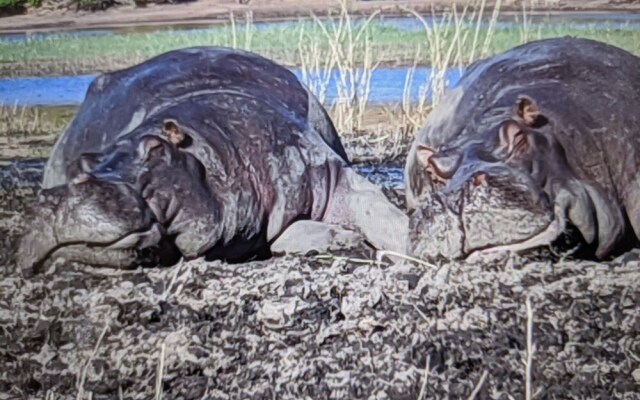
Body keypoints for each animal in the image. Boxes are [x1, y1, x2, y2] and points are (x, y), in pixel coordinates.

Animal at [18, 46, 410, 272]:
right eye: (80, 164)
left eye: (155, 149)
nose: (58, 197)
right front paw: (341, 238)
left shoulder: (320, 165)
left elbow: (379, 210)